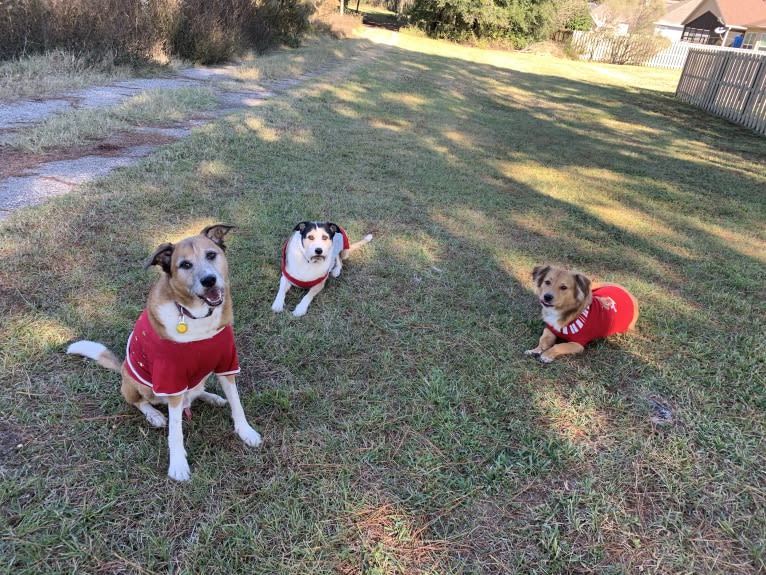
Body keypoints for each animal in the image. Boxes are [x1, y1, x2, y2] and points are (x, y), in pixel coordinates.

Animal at [67, 225, 264, 482]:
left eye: (211, 255)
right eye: (185, 265)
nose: (209, 280)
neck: (196, 317)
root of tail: (122, 367)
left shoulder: (226, 363)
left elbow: (236, 403)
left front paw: (245, 431)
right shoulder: (171, 379)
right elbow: (175, 431)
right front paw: (178, 464)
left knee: (195, 392)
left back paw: (213, 397)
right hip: (137, 383)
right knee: (139, 402)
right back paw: (155, 415)